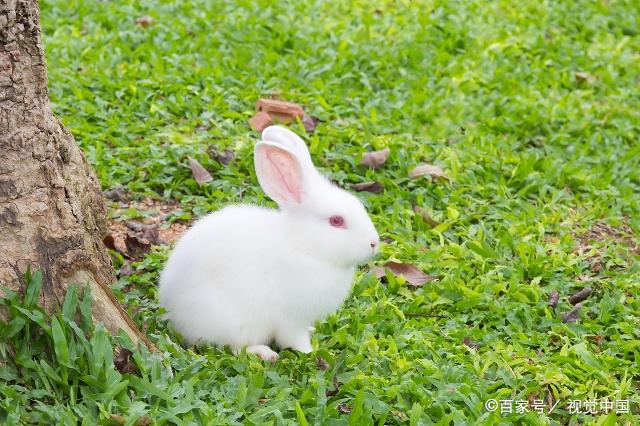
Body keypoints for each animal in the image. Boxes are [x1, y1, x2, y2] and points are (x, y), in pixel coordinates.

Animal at [159, 125, 380, 362]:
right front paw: (310, 352)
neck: (304, 247)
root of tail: (172, 313)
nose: (374, 243)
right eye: (336, 221)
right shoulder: (291, 319)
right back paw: (264, 353)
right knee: (234, 348)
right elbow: (294, 339)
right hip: (234, 323)